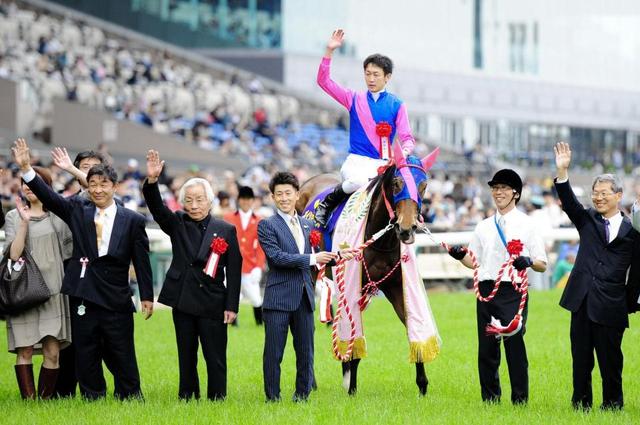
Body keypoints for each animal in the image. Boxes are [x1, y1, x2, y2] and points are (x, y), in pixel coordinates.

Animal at [296, 147, 438, 396]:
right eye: (397, 183)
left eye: (423, 185)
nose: (406, 227)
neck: (381, 239)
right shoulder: (354, 283)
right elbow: (354, 334)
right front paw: (352, 388)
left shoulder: (396, 286)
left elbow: (411, 325)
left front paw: (422, 385)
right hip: (311, 272)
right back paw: (312, 382)